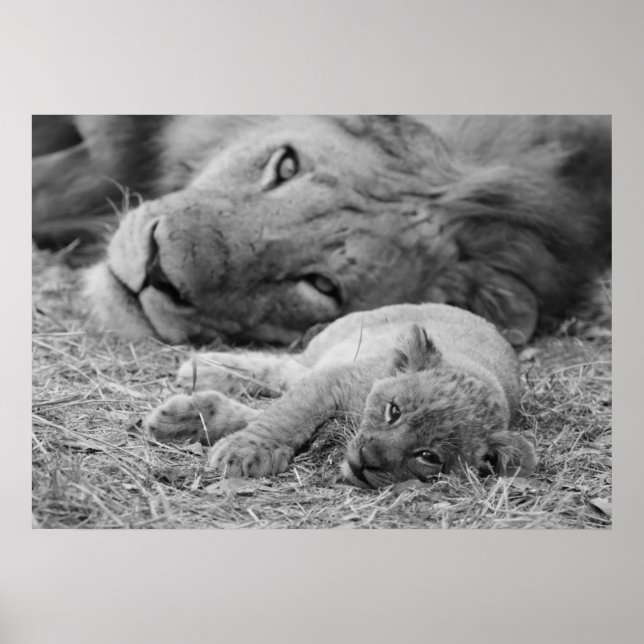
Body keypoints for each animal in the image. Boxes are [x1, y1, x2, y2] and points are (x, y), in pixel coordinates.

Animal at [144, 303, 537, 488]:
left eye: (428, 456)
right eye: (394, 411)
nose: (366, 459)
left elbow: (264, 414)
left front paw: (191, 418)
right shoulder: (336, 379)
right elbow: (286, 416)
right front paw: (244, 452)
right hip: (333, 345)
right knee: (283, 368)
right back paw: (203, 367)